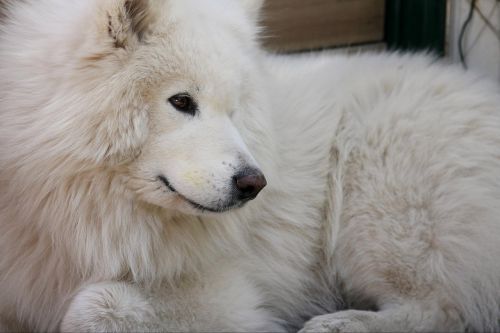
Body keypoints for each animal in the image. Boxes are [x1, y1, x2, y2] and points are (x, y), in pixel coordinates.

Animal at [0, 0, 500, 330]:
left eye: (233, 110)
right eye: (181, 101)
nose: (254, 184)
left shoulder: (230, 296)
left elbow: (92, 304)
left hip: (378, 209)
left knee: (442, 309)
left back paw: (338, 324)